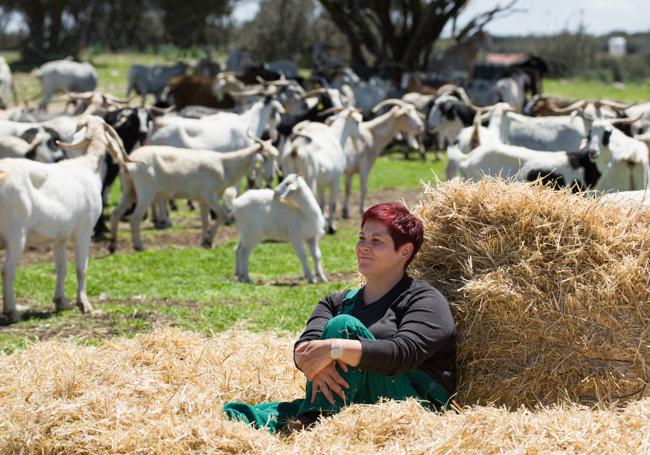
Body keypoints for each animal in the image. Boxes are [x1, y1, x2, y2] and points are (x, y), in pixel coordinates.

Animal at [0, 117, 130, 324]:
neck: (88, 166)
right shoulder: (84, 230)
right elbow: (81, 267)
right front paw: (85, 305)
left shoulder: (59, 237)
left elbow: (62, 267)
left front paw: (61, 301)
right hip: (16, 234)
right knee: (7, 271)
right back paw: (12, 311)